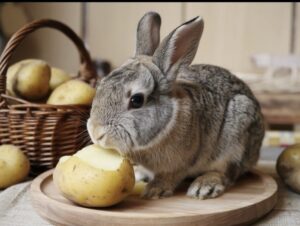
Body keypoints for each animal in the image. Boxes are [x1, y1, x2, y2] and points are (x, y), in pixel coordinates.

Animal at [87, 11, 264, 200]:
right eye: (101, 83)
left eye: (136, 100)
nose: (96, 133)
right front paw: (142, 175)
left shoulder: (181, 163)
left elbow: (170, 176)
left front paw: (154, 190)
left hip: (236, 139)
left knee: (227, 172)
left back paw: (203, 187)